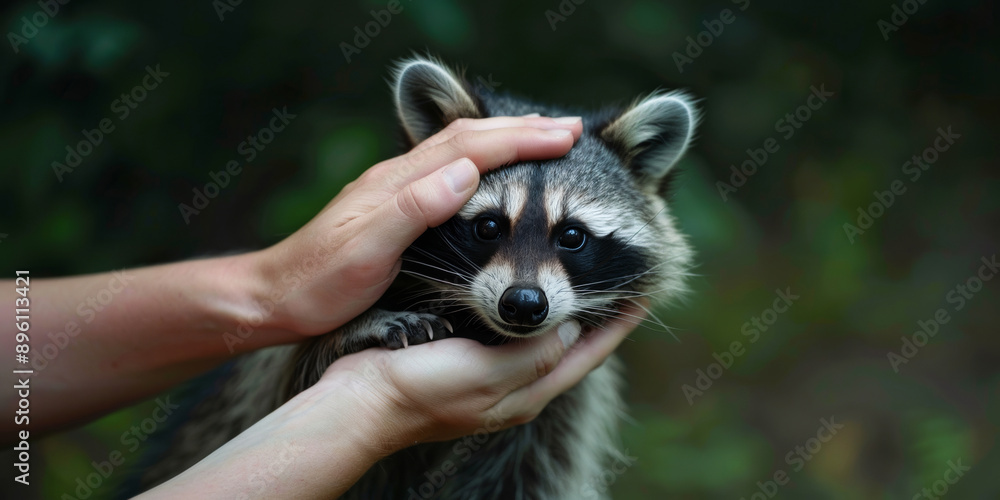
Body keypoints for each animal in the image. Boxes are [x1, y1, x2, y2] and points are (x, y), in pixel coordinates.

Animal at [139, 58, 696, 500]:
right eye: (488, 226)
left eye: (573, 236)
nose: (522, 303)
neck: (479, 325)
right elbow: (290, 380)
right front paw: (353, 330)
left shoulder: (558, 418)